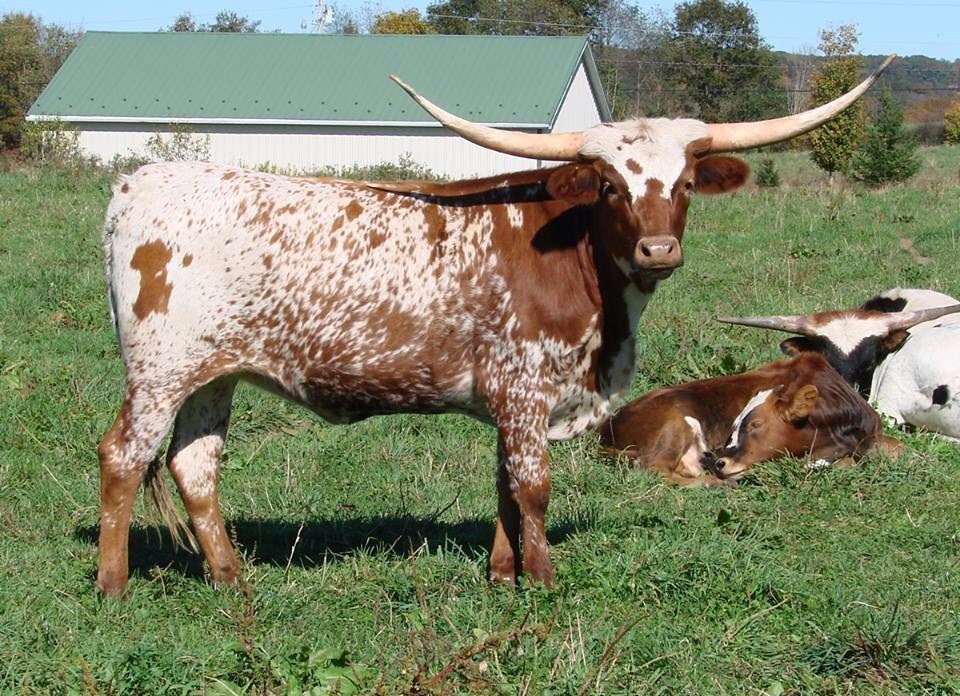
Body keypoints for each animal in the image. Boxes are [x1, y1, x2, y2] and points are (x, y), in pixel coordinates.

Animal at [597, 352, 900, 485]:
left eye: (755, 424)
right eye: (736, 425)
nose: (719, 461)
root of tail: (606, 428)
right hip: (677, 422)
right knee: (651, 467)